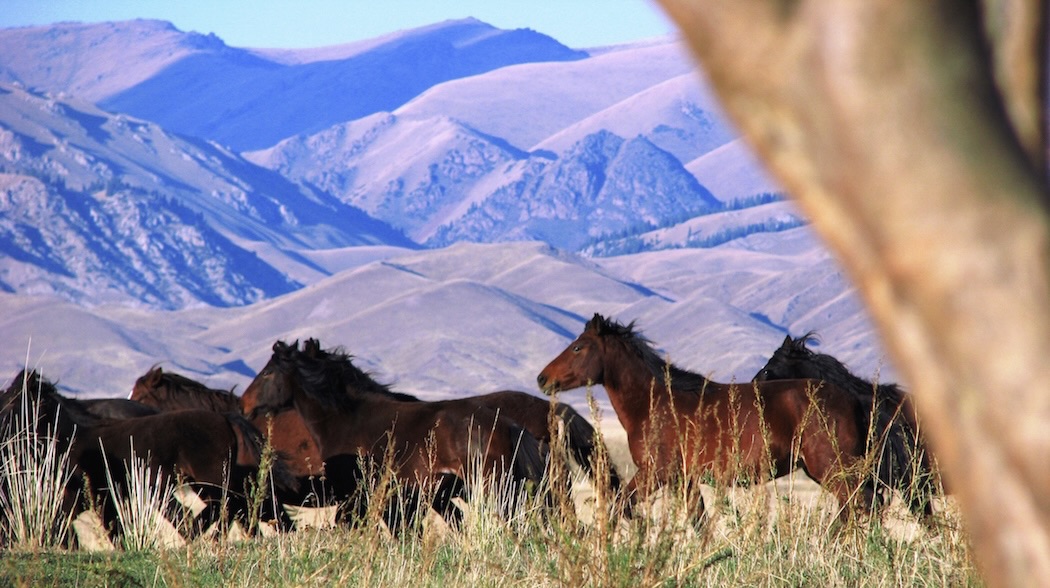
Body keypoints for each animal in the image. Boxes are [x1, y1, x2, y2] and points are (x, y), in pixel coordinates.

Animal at [240, 340, 546, 529]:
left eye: (267, 373)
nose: (244, 404)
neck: (347, 418)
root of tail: (509, 426)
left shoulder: (356, 496)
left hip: (491, 487)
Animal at [537, 315, 907, 520]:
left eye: (578, 347)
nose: (542, 379)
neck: (655, 403)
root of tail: (854, 398)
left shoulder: (654, 474)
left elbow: (620, 509)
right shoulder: (682, 479)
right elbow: (698, 523)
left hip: (832, 467)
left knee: (862, 504)